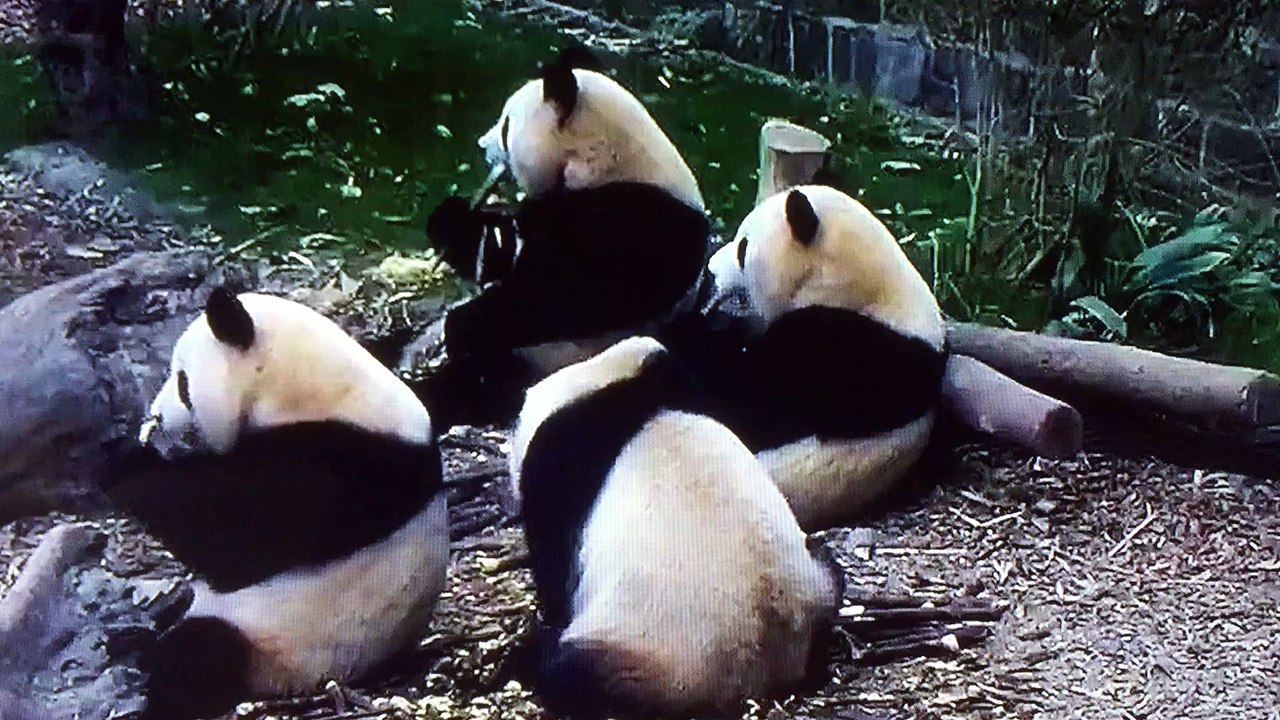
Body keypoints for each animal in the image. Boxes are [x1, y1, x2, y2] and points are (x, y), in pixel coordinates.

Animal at [107, 288, 448, 720]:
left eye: (183, 383)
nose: (157, 416)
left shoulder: (340, 458)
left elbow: (235, 535)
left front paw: (125, 464)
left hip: (280, 647)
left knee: (202, 652)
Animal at [421, 46, 712, 428]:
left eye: (506, 125)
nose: (482, 144)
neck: (604, 157)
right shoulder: (550, 206)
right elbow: (507, 253)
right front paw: (452, 222)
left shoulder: (645, 222)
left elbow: (568, 294)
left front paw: (465, 323)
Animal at [508, 335, 844, 719]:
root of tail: (763, 668)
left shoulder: (559, 470)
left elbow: (555, 567)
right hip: (813, 582)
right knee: (829, 568)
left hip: (645, 649)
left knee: (571, 674)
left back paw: (532, 653)